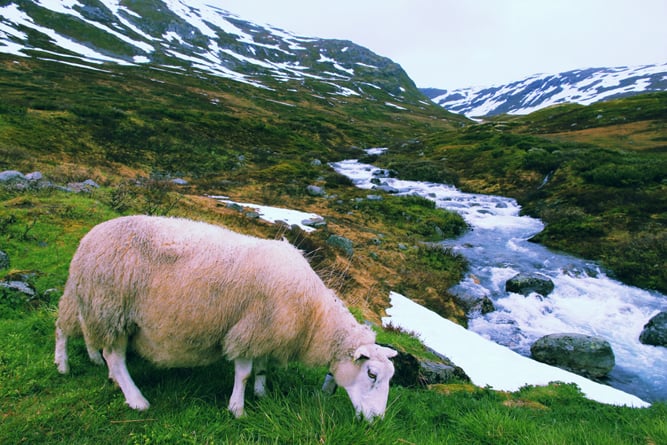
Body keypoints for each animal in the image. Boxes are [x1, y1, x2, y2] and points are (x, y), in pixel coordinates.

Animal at [54, 215, 396, 420]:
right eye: (371, 374)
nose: (376, 421)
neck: (313, 316)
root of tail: (91, 235)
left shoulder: (265, 332)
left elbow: (262, 368)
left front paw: (262, 393)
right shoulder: (248, 329)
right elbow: (243, 373)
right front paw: (237, 408)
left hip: (93, 303)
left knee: (75, 328)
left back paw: (88, 364)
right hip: (111, 307)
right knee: (108, 354)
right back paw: (127, 394)